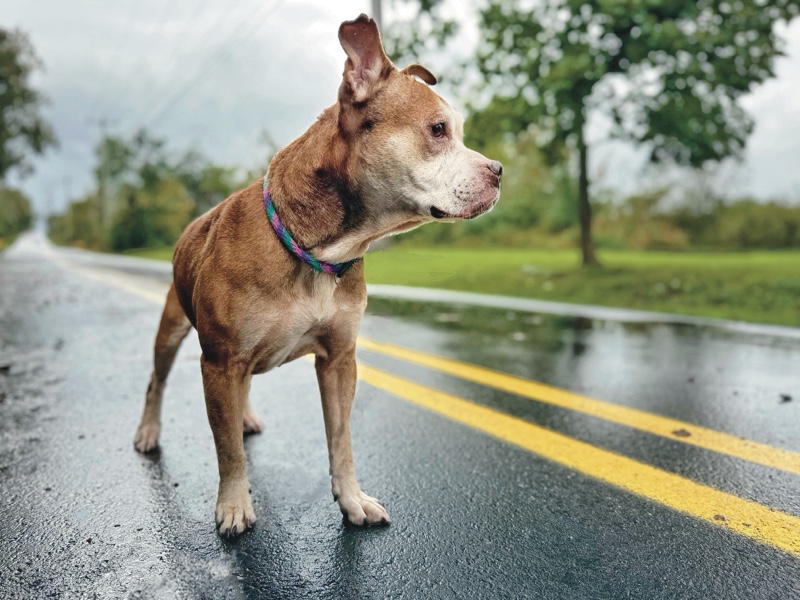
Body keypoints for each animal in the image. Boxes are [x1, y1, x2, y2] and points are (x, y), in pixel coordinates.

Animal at [136, 15, 500, 540]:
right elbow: (227, 451)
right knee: (157, 382)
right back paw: (149, 431)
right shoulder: (220, 360)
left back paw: (243, 417)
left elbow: (340, 437)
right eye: (438, 130)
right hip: (171, 329)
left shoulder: (339, 360)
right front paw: (234, 504)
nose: (499, 170)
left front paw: (351, 499)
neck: (318, 252)